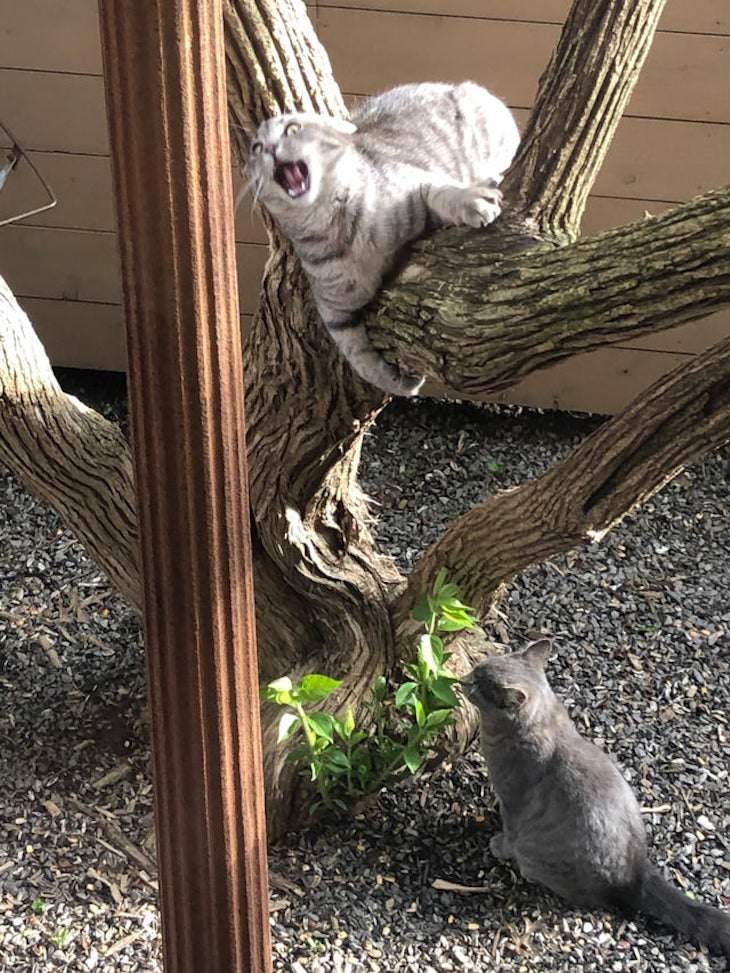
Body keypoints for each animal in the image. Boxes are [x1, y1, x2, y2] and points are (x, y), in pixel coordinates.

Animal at [245, 80, 516, 394]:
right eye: (256, 147)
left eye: (292, 128)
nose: (270, 148)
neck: (341, 229)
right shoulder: (334, 313)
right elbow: (360, 360)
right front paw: (400, 383)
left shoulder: (416, 182)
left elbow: (443, 192)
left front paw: (472, 200)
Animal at [464, 636, 728, 956]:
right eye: (475, 670)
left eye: (478, 683)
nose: (463, 679)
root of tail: (636, 875)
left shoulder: (514, 801)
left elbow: (509, 829)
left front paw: (499, 844)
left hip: (537, 854)